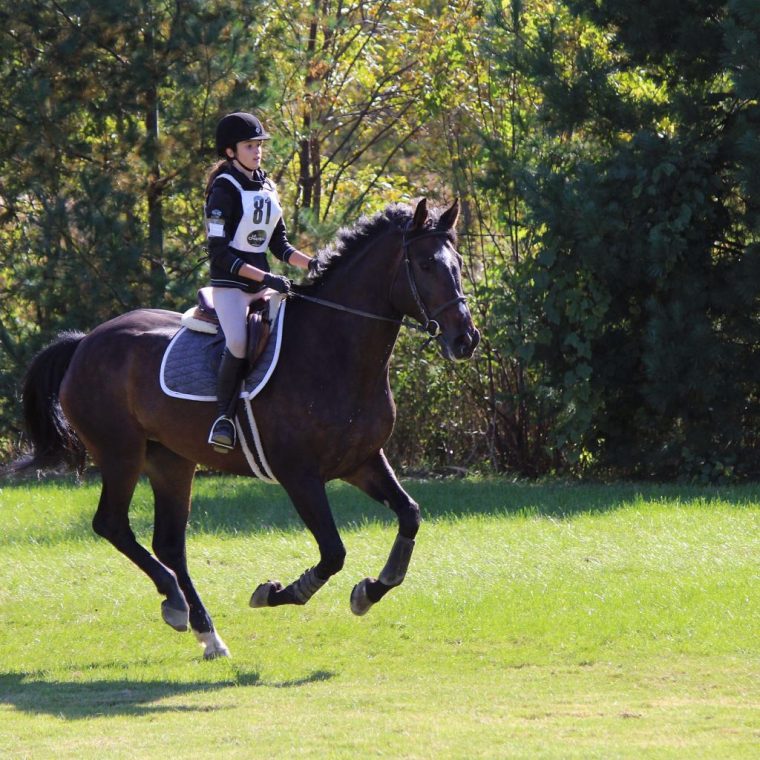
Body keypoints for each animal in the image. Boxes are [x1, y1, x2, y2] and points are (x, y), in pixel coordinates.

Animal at [17, 199, 478, 656]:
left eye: (456, 263)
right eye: (425, 265)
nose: (466, 340)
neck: (337, 352)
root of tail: (85, 342)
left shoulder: (361, 461)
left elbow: (410, 515)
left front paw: (369, 591)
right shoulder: (300, 476)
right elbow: (333, 552)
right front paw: (277, 592)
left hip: (171, 461)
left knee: (169, 543)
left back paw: (206, 632)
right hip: (120, 454)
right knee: (111, 524)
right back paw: (176, 602)